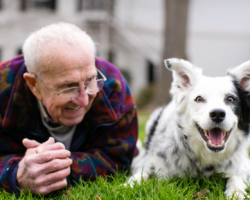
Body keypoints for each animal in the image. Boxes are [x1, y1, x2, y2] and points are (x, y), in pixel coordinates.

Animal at [128, 57, 250, 198]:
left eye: (230, 99)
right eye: (199, 99)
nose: (218, 114)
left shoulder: (243, 165)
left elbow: (236, 178)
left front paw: (236, 194)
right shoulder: (148, 163)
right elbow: (138, 176)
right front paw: (126, 186)